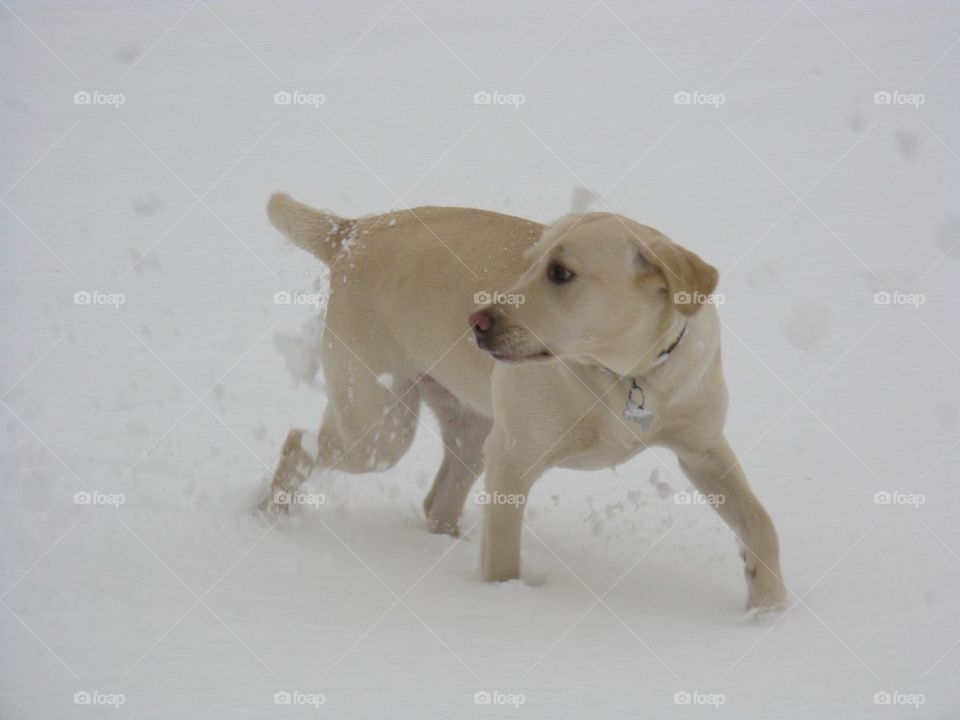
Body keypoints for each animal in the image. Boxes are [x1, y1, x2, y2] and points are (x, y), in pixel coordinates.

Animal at [260, 194, 788, 612]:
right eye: (529, 263)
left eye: (560, 273)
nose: (475, 322)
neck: (627, 375)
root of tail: (353, 231)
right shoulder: (513, 459)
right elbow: (503, 559)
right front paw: (506, 605)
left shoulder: (704, 450)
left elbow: (760, 520)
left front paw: (768, 607)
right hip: (381, 430)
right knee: (298, 442)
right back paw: (270, 516)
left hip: (471, 433)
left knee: (437, 502)